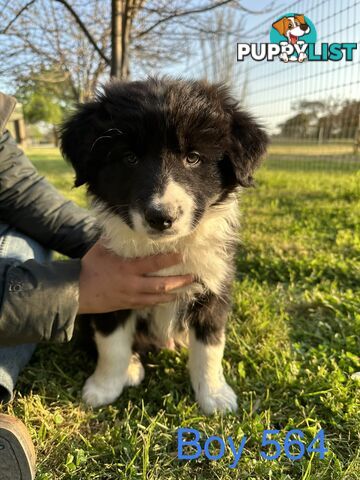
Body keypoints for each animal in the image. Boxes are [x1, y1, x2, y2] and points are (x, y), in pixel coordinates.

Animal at [59, 77, 268, 414]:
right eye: (129, 158)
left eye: (193, 157)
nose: (161, 217)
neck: (164, 248)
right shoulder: (110, 289)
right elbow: (111, 344)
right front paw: (104, 387)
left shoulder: (214, 287)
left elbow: (210, 347)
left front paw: (214, 395)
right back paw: (132, 367)